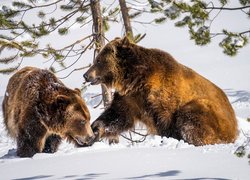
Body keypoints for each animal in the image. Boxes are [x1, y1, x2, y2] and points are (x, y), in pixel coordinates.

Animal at [84, 36, 238, 146]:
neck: (135, 79)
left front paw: (169, 138)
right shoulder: (130, 97)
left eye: (99, 61)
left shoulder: (163, 96)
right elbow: (117, 115)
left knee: (191, 117)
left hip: (208, 110)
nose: (86, 75)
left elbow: (166, 120)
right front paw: (96, 129)